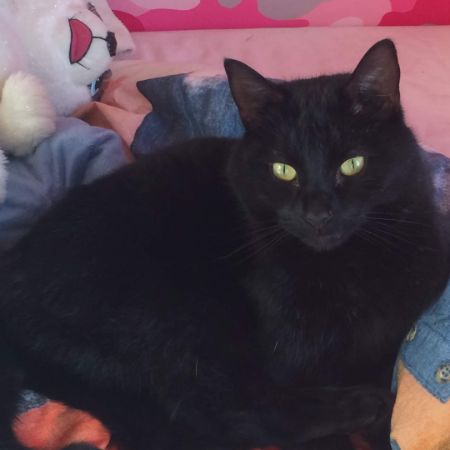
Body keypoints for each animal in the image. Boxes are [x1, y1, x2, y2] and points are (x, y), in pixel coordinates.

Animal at [0, 39, 448, 450]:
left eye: (352, 164)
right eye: (283, 170)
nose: (318, 214)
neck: (348, 271)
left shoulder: (390, 339)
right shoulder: (288, 365)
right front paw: (371, 416)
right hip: (181, 315)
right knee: (226, 416)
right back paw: (366, 403)